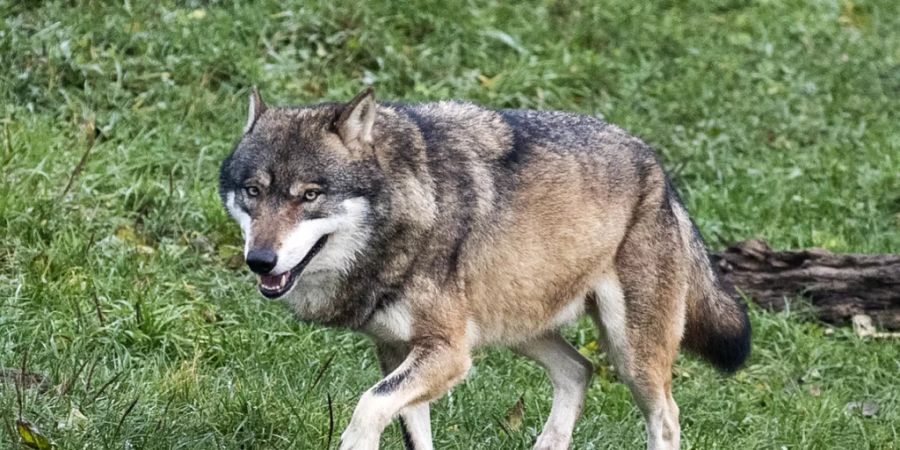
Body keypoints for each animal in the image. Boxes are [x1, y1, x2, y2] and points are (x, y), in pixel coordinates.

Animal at [220, 88, 752, 450]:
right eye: (253, 191)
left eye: (309, 195)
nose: (260, 260)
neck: (412, 209)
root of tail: (658, 169)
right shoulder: (397, 351)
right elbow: (409, 430)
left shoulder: (448, 353)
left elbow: (368, 405)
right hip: (517, 327)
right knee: (578, 371)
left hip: (631, 357)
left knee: (665, 416)